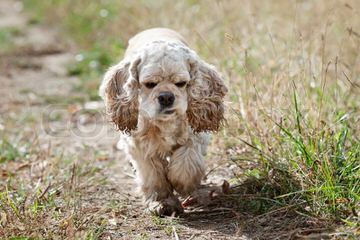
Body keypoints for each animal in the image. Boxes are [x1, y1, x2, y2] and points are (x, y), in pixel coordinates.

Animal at [98, 27, 228, 216]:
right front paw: (162, 203)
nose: (166, 97)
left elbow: (186, 163)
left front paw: (181, 184)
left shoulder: (195, 137)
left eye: (181, 83)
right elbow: (154, 176)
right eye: (149, 84)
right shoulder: (141, 146)